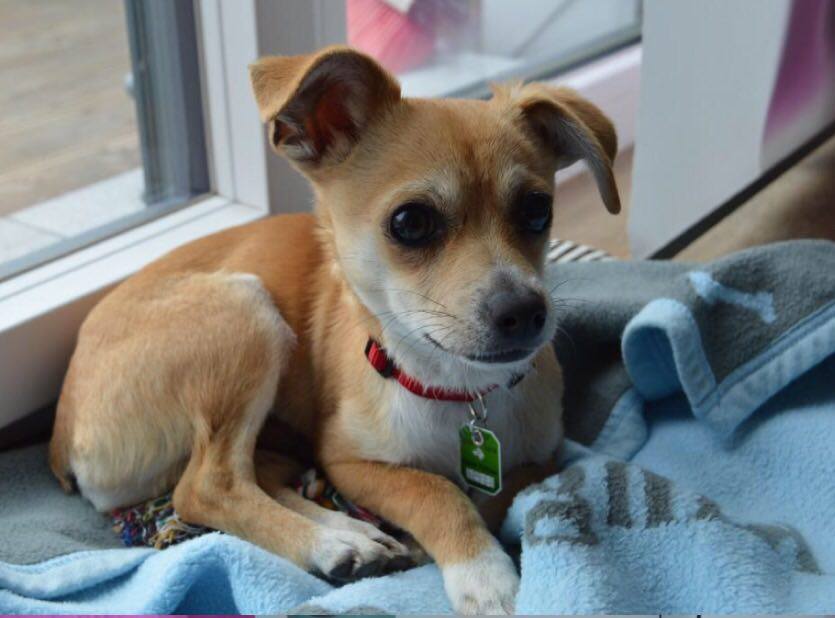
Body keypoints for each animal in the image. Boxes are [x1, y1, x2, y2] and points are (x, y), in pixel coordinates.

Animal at [49, 46, 619, 614]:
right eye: (411, 222)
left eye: (538, 210)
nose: (525, 311)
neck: (457, 392)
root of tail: (62, 429)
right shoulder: (347, 460)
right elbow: (436, 493)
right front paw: (484, 574)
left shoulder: (545, 455)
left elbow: (498, 493)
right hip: (247, 315)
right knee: (209, 485)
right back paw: (333, 543)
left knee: (260, 472)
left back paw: (354, 534)